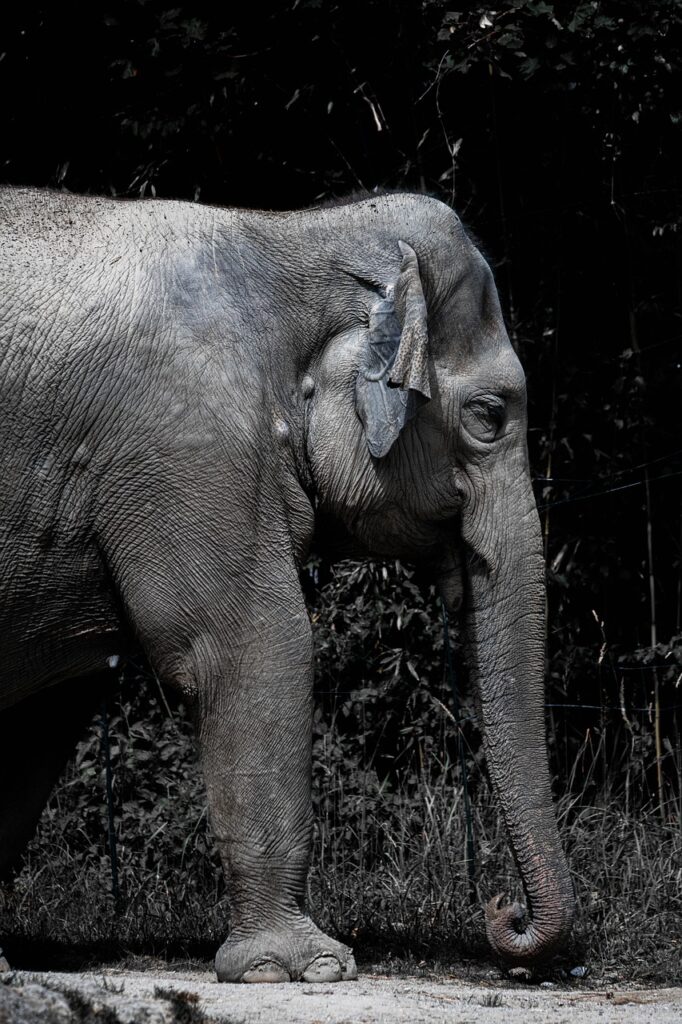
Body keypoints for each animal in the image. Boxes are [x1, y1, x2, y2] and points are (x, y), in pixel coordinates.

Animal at [0, 186, 573, 983]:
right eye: (489, 417)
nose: (503, 914)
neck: (291, 235)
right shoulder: (191, 447)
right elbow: (256, 644)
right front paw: (306, 968)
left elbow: (48, 704)